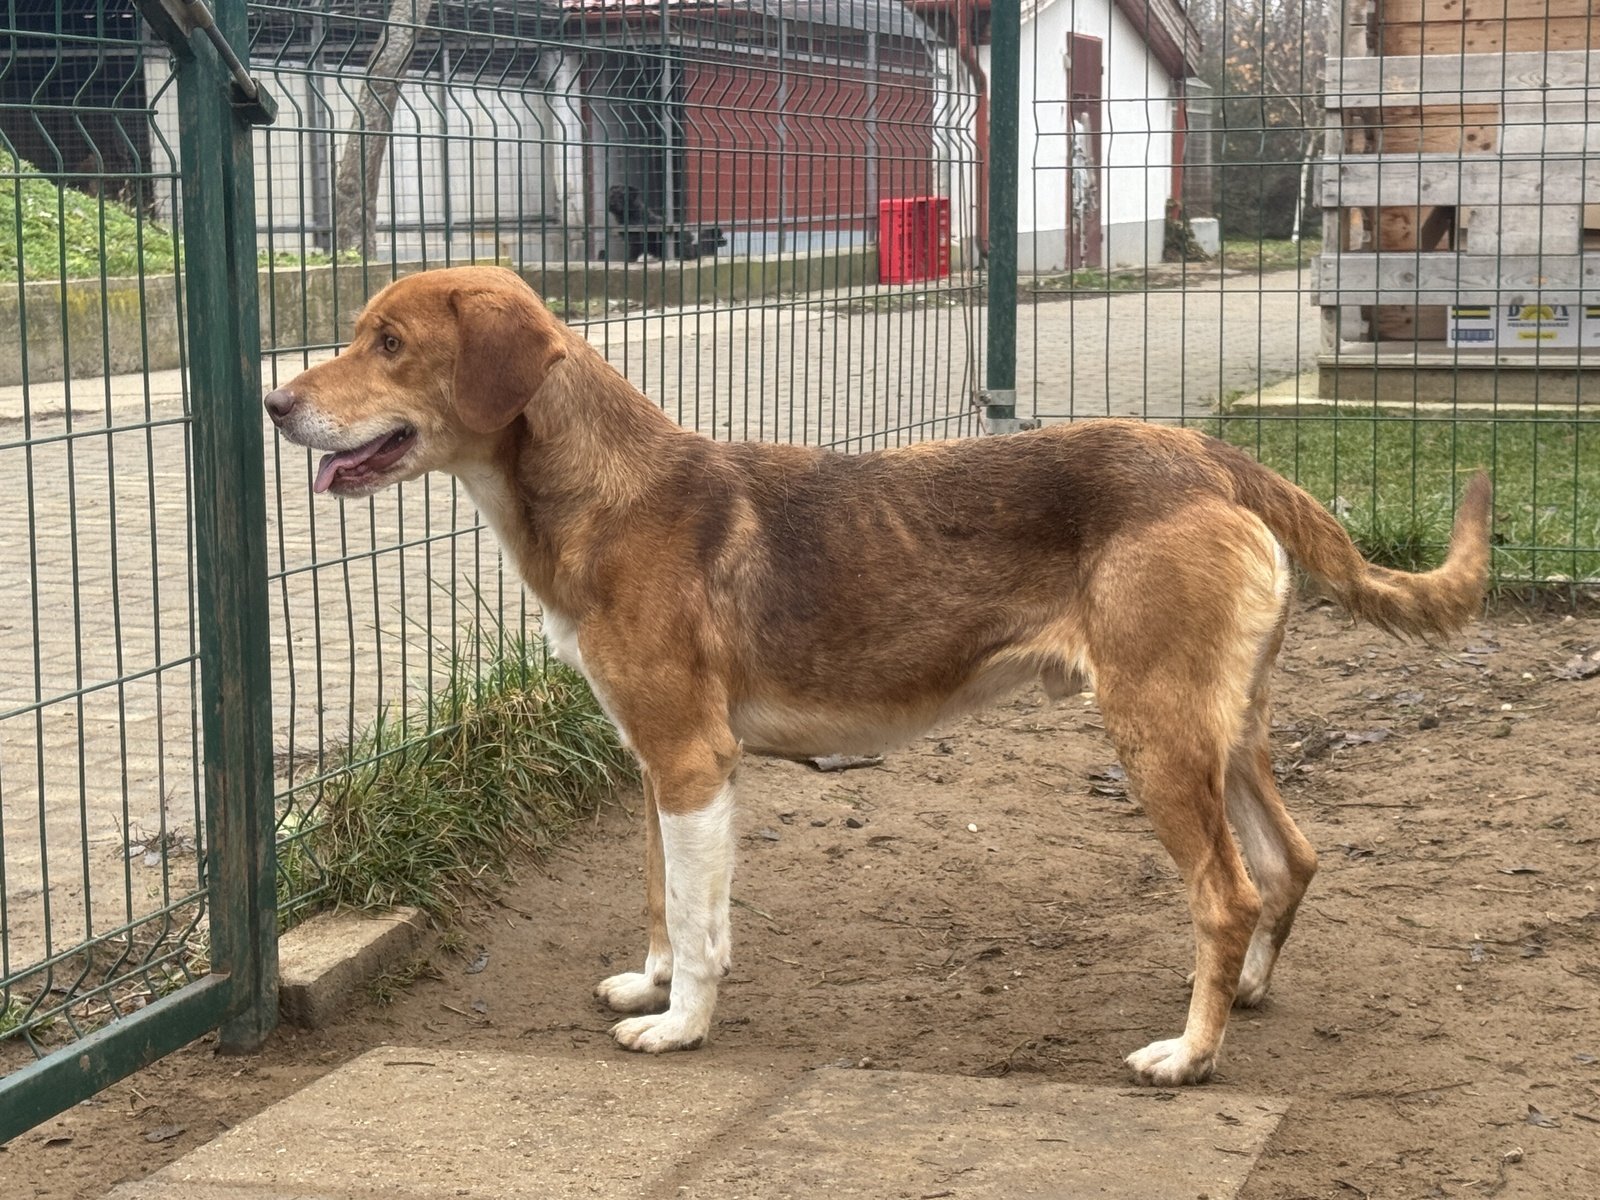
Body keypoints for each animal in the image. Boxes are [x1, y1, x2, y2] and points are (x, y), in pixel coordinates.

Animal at [264, 265, 1491, 1086]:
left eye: (388, 342)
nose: (274, 404)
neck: (603, 492)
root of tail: (1210, 456)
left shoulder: (694, 763)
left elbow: (701, 925)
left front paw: (679, 1027)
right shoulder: (651, 766)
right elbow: (663, 902)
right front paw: (650, 985)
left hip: (1155, 736)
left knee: (1227, 893)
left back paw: (1189, 1053)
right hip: (1224, 731)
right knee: (1291, 861)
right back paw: (1244, 996)